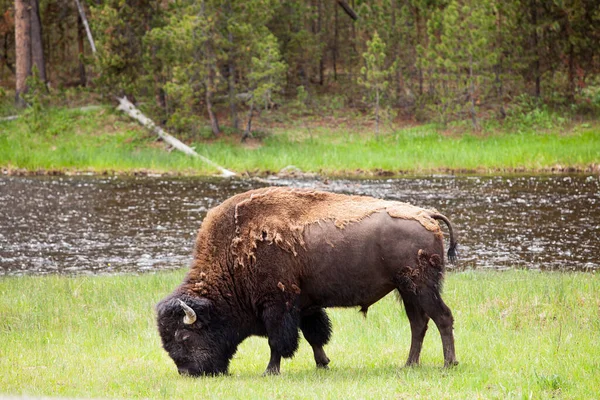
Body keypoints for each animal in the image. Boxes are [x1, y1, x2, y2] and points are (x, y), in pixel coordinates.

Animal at [156, 187, 460, 376]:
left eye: (183, 336)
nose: (188, 373)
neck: (234, 253)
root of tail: (427, 214)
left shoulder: (277, 306)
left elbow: (278, 341)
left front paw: (270, 371)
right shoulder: (305, 306)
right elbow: (314, 335)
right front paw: (323, 363)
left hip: (422, 288)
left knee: (442, 317)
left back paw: (448, 364)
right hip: (407, 290)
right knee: (418, 324)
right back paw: (409, 364)